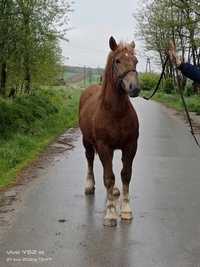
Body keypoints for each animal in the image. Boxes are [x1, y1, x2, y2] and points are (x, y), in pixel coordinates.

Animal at [78, 36, 139, 228]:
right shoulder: (104, 146)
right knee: (90, 160)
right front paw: (111, 214)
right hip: (87, 142)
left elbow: (125, 175)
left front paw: (125, 210)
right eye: (117, 61)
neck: (115, 112)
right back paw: (89, 185)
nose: (134, 87)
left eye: (136, 61)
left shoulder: (130, 146)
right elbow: (108, 178)